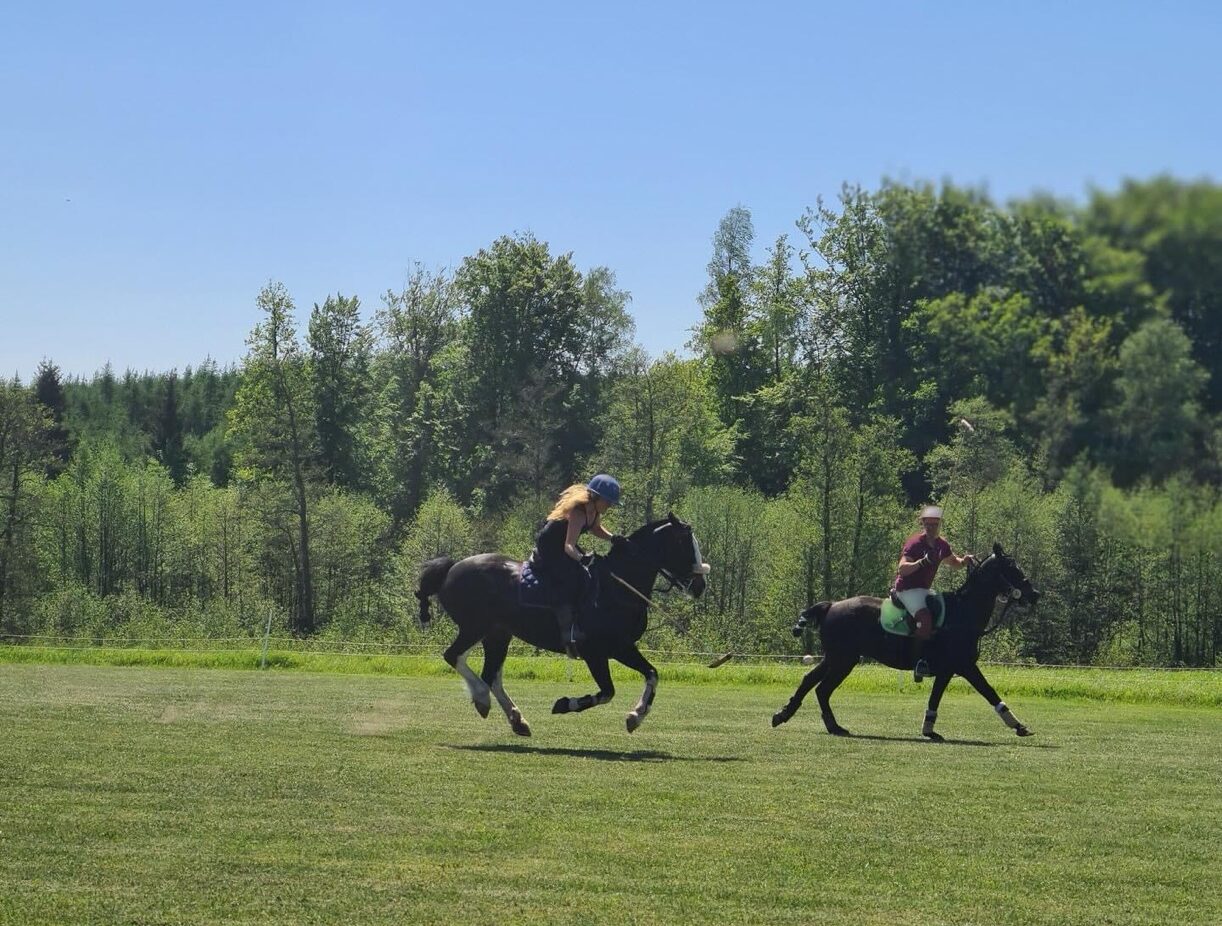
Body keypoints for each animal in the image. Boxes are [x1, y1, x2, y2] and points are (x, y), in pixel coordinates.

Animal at [417, 510, 713, 737]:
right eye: (684, 543)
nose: (700, 585)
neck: (618, 586)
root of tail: (452, 568)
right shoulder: (599, 652)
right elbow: (607, 692)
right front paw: (564, 704)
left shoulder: (622, 647)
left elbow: (651, 674)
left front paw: (635, 716)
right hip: (475, 627)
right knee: (454, 657)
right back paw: (481, 698)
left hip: (498, 634)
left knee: (492, 675)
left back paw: (517, 720)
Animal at [772, 547, 1041, 742]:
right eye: (1012, 568)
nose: (1035, 594)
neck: (963, 614)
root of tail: (830, 606)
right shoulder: (963, 666)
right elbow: (989, 692)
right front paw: (1019, 726)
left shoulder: (947, 670)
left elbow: (935, 700)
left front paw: (929, 730)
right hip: (843, 659)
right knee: (822, 688)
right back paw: (829, 725)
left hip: (837, 658)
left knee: (812, 682)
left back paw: (789, 716)